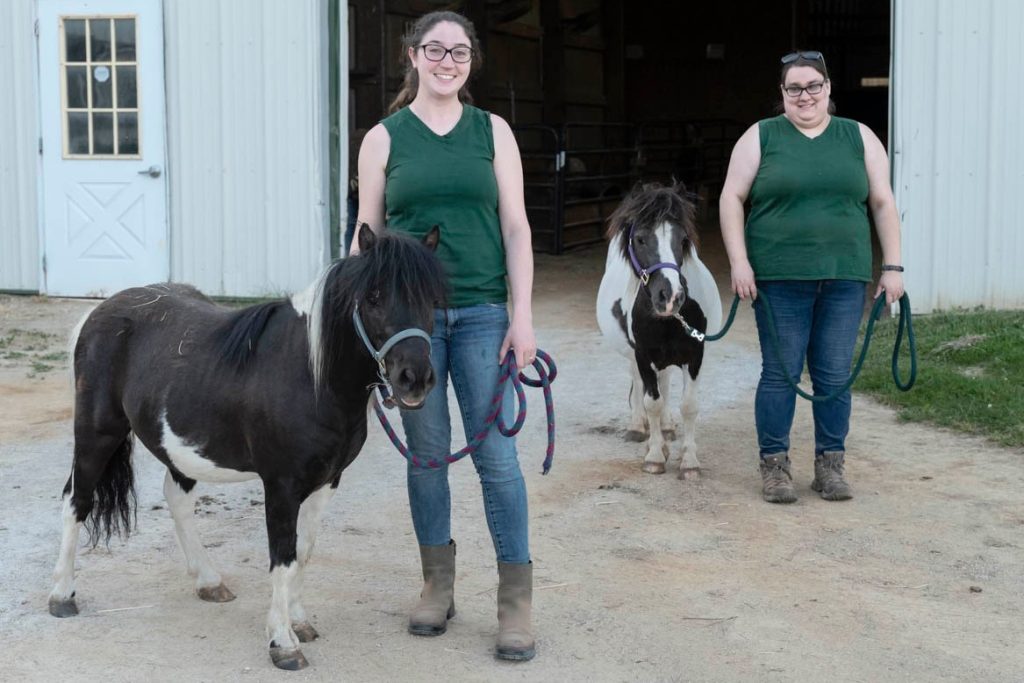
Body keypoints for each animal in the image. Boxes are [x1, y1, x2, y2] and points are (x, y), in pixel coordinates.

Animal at [47, 227, 444, 671]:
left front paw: (299, 622)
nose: (415, 379)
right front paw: (283, 642)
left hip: (179, 448)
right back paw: (62, 595)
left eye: (431, 299)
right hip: (98, 433)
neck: (310, 375)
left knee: (176, 500)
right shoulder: (282, 486)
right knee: (76, 500)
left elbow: (304, 551)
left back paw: (208, 581)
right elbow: (283, 557)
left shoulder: (327, 482)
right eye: (373, 296)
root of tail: (99, 312)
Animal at [593, 184, 720, 479]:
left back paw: (667, 428)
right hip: (633, 354)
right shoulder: (643, 354)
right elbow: (652, 401)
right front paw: (654, 456)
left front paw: (689, 460)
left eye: (683, 239)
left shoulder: (695, 355)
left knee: (665, 383)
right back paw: (639, 428)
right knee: (640, 384)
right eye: (640, 239)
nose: (670, 297)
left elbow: (689, 406)